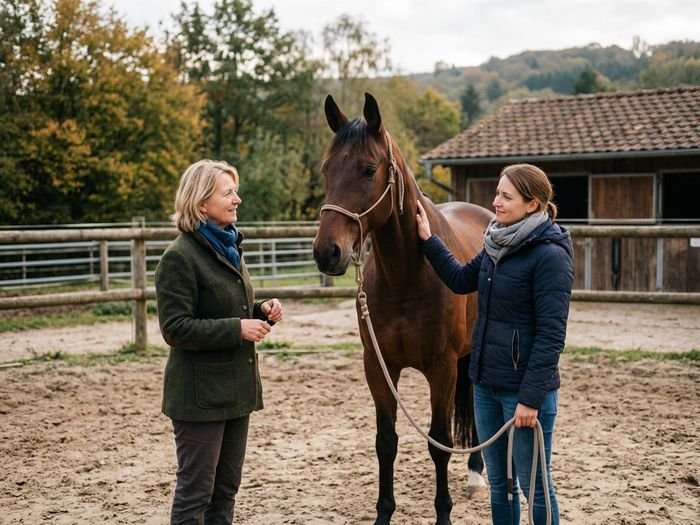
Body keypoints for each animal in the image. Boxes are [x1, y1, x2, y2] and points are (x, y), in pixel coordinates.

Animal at [312, 92, 494, 525]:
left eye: (368, 170)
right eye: (327, 168)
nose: (327, 252)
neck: (405, 278)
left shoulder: (442, 368)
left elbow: (439, 442)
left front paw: (443, 514)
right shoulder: (378, 366)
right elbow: (386, 442)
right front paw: (383, 513)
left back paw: (477, 476)